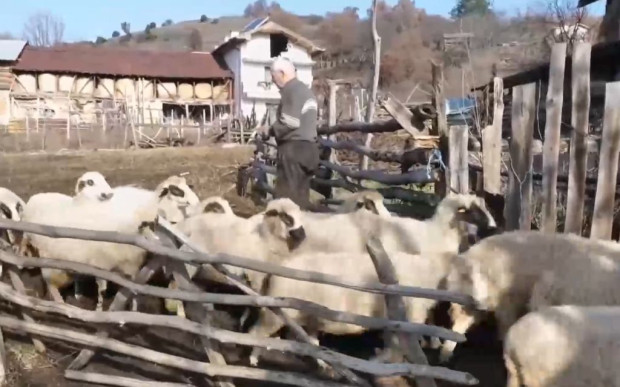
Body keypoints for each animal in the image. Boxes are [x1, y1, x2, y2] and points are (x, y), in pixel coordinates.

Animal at [247, 250, 456, 368]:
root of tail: (274, 271)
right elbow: (394, 349)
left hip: (301, 315)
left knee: (309, 341)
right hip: (274, 313)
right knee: (255, 332)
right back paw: (253, 361)